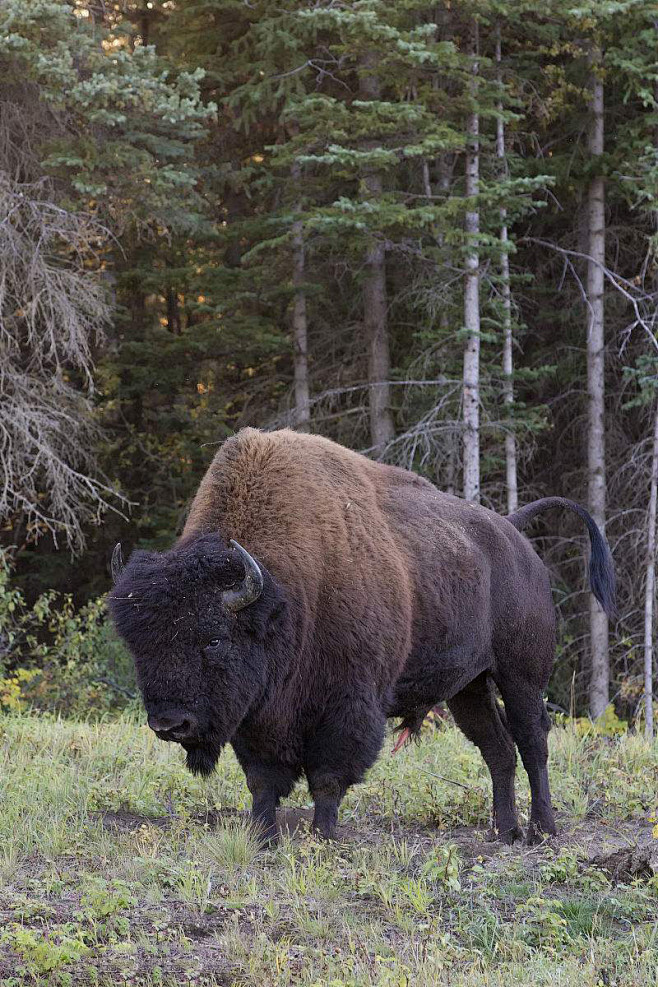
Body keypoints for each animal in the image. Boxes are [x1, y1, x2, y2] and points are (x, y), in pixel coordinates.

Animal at [105, 428, 612, 844]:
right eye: (138, 645)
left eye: (213, 639)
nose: (169, 723)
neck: (281, 593)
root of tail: (513, 535)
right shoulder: (258, 714)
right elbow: (263, 780)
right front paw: (262, 838)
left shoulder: (347, 703)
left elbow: (328, 775)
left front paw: (324, 837)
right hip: (468, 686)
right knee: (497, 749)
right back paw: (504, 832)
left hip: (521, 674)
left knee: (532, 741)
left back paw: (542, 831)